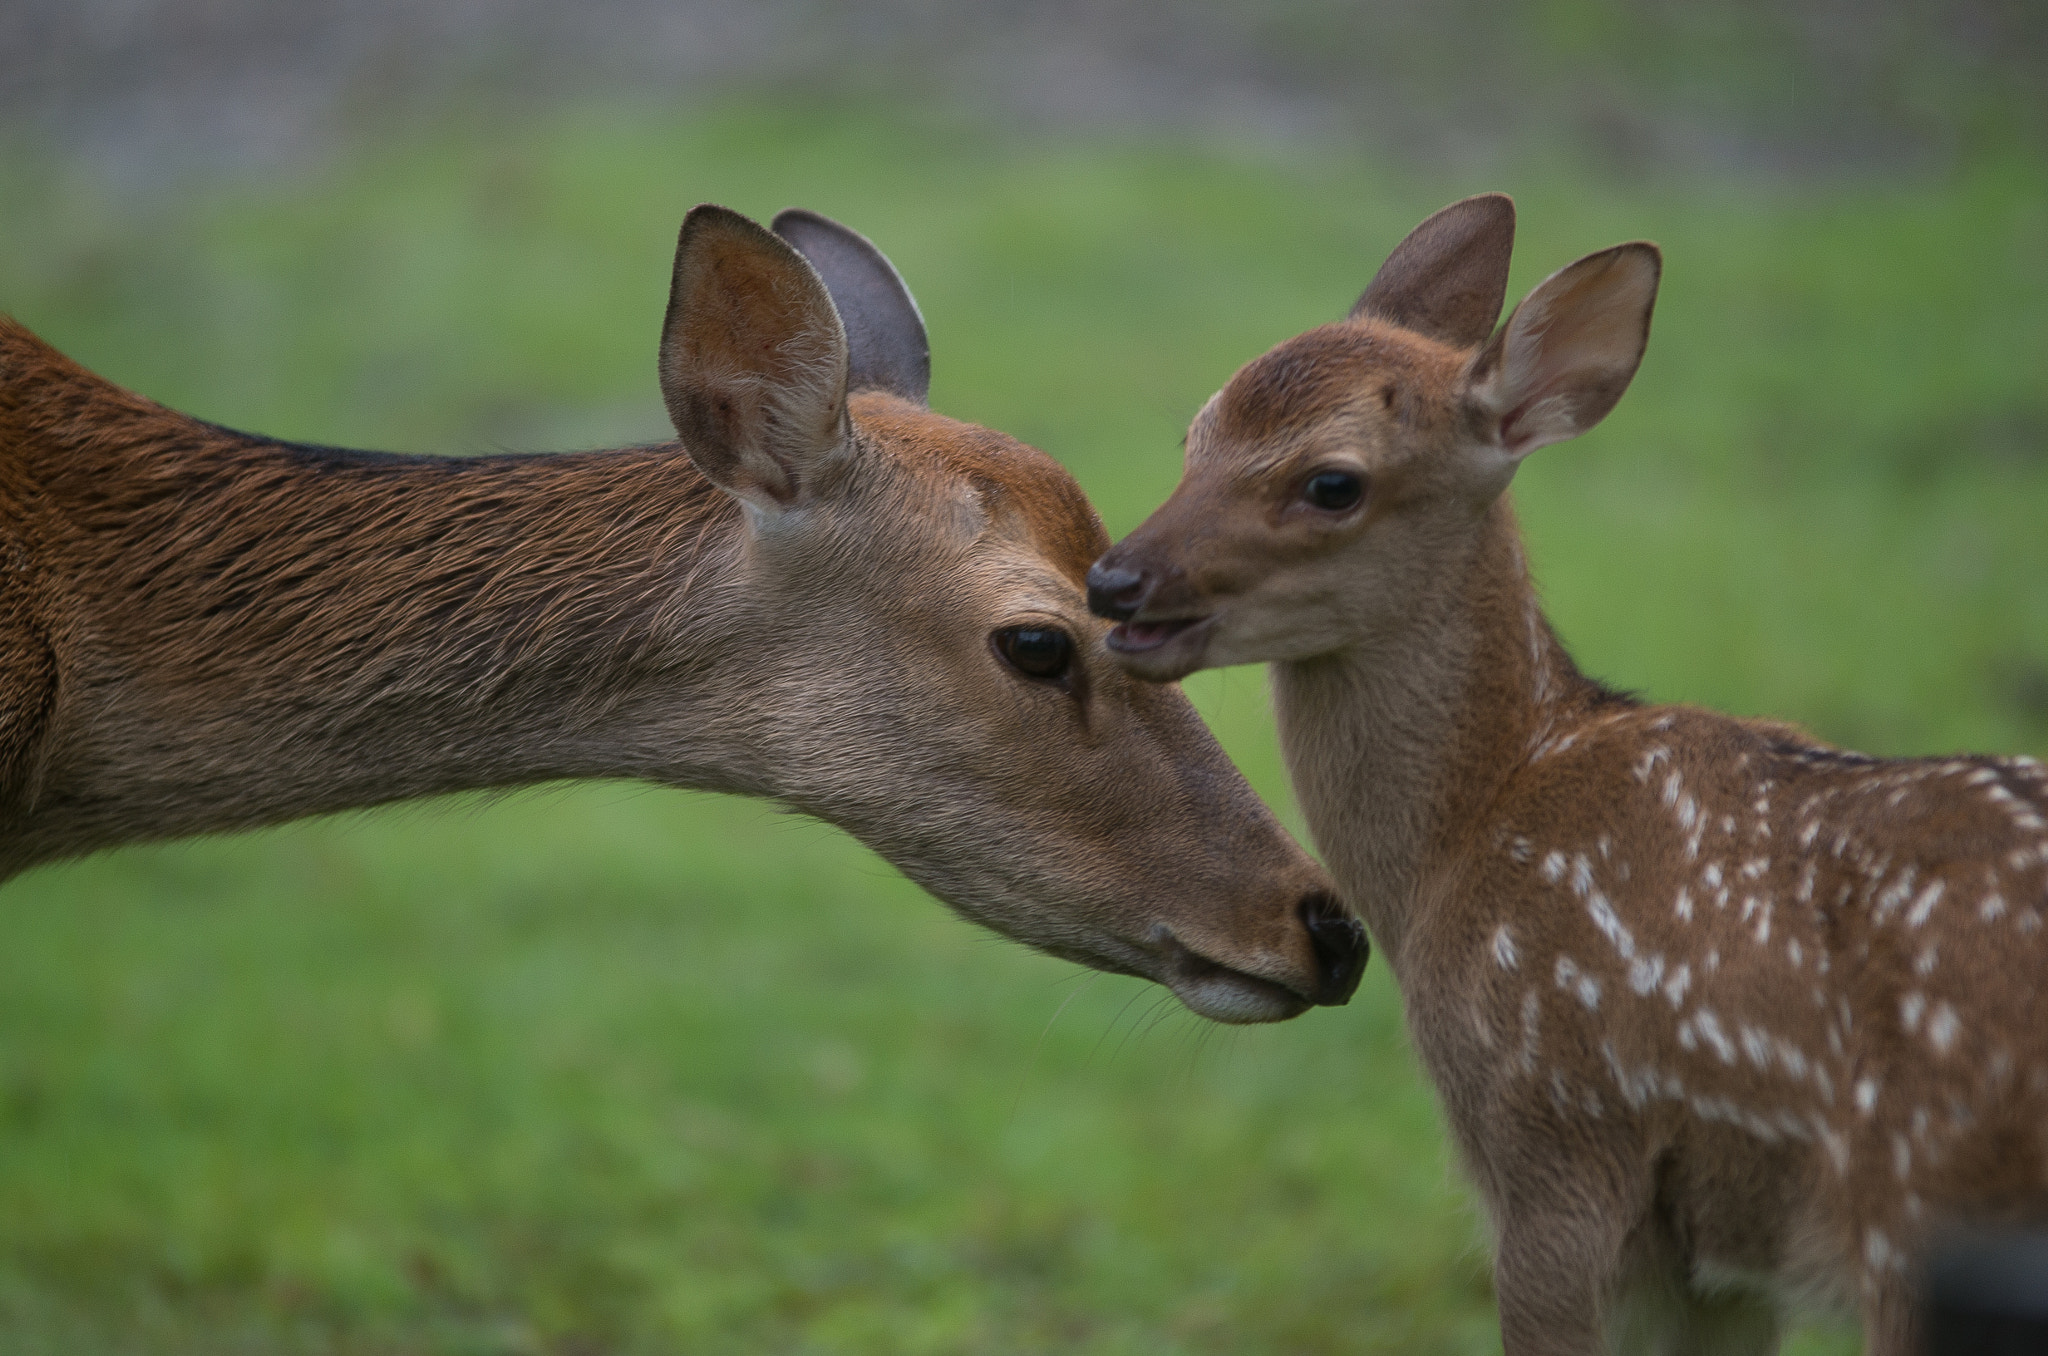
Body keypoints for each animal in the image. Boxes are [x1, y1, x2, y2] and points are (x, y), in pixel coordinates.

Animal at [1097, 196, 2048, 1351]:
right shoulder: (1722, 1259)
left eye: (1332, 482)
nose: (1114, 581)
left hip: (1925, 1209)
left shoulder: (1553, 1142)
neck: (1475, 826)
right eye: (1193, 436)